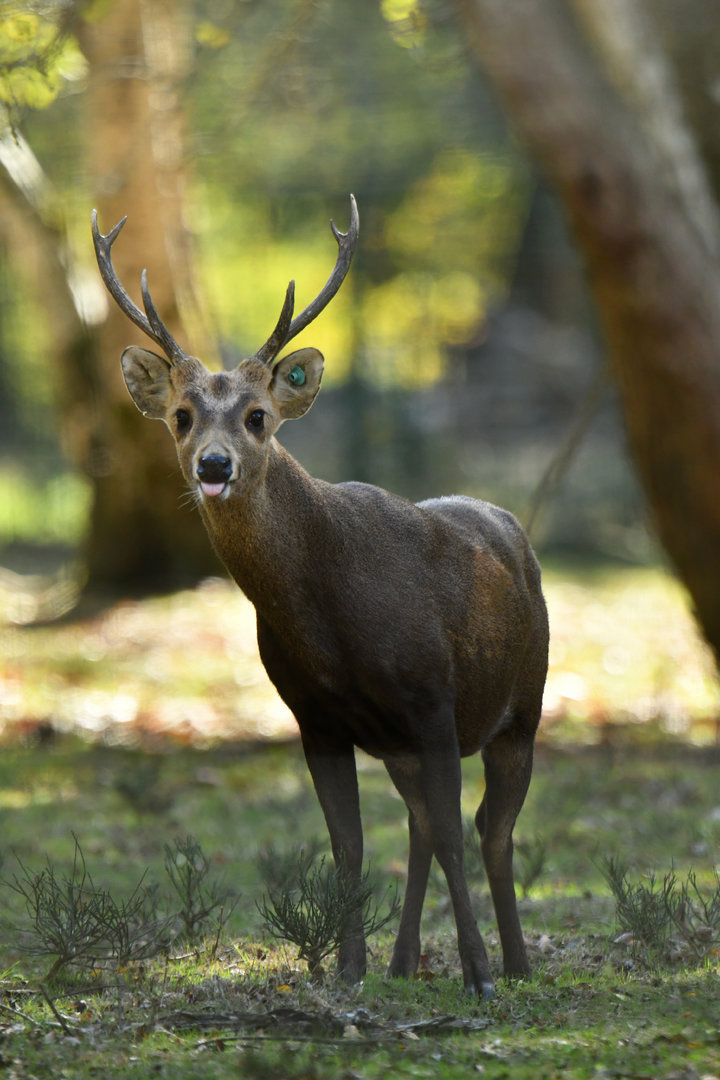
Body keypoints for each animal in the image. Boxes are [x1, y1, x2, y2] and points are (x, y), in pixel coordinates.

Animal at [91, 196, 549, 997]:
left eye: (258, 417)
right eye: (181, 416)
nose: (214, 466)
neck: (331, 619)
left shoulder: (432, 699)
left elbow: (455, 837)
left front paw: (478, 973)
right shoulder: (316, 718)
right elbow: (351, 847)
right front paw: (348, 972)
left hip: (523, 705)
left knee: (491, 830)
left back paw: (516, 966)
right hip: (402, 743)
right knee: (423, 827)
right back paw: (403, 962)